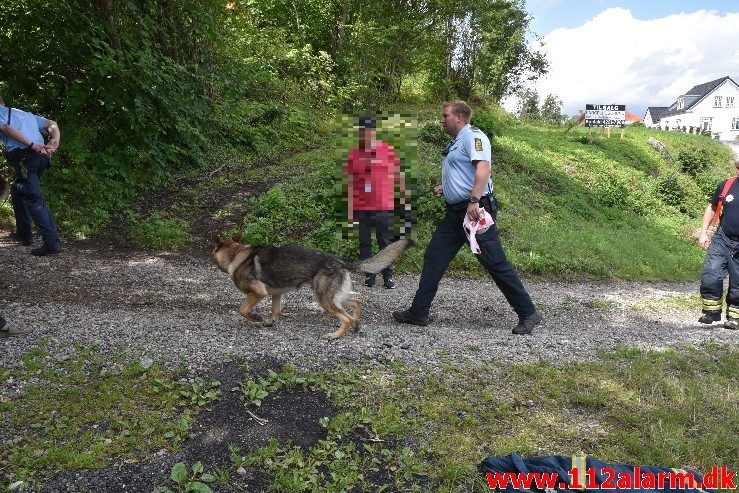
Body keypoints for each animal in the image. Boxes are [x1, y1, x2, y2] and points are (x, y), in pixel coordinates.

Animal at [212, 233, 410, 340]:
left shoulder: (258, 292)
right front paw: (268, 322)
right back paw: (356, 324)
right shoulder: (276, 294)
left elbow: (242, 310)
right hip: (334, 296)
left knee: (345, 317)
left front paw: (256, 317)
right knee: (357, 300)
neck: (236, 254)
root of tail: (341, 262)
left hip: (323, 299)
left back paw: (335, 335)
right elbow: (275, 310)